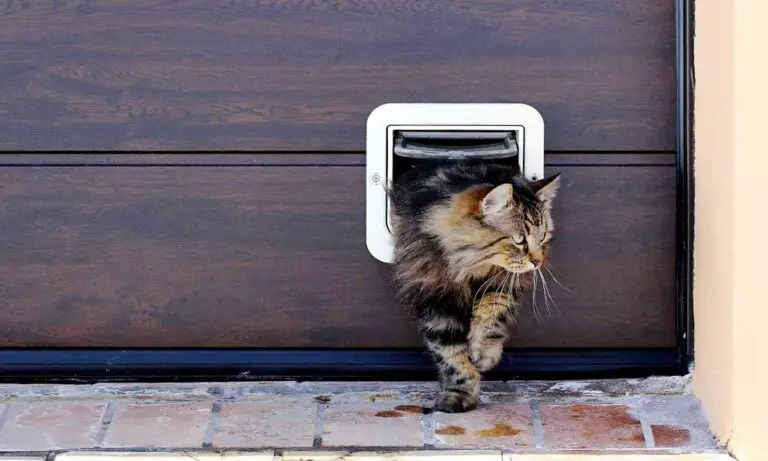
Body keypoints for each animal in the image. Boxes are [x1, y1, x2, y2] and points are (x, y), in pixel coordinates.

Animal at [390, 160, 560, 412]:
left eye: (543, 237)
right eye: (519, 240)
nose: (538, 262)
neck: (469, 263)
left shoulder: (500, 283)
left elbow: (490, 317)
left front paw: (484, 355)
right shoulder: (436, 294)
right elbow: (449, 350)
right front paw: (459, 392)